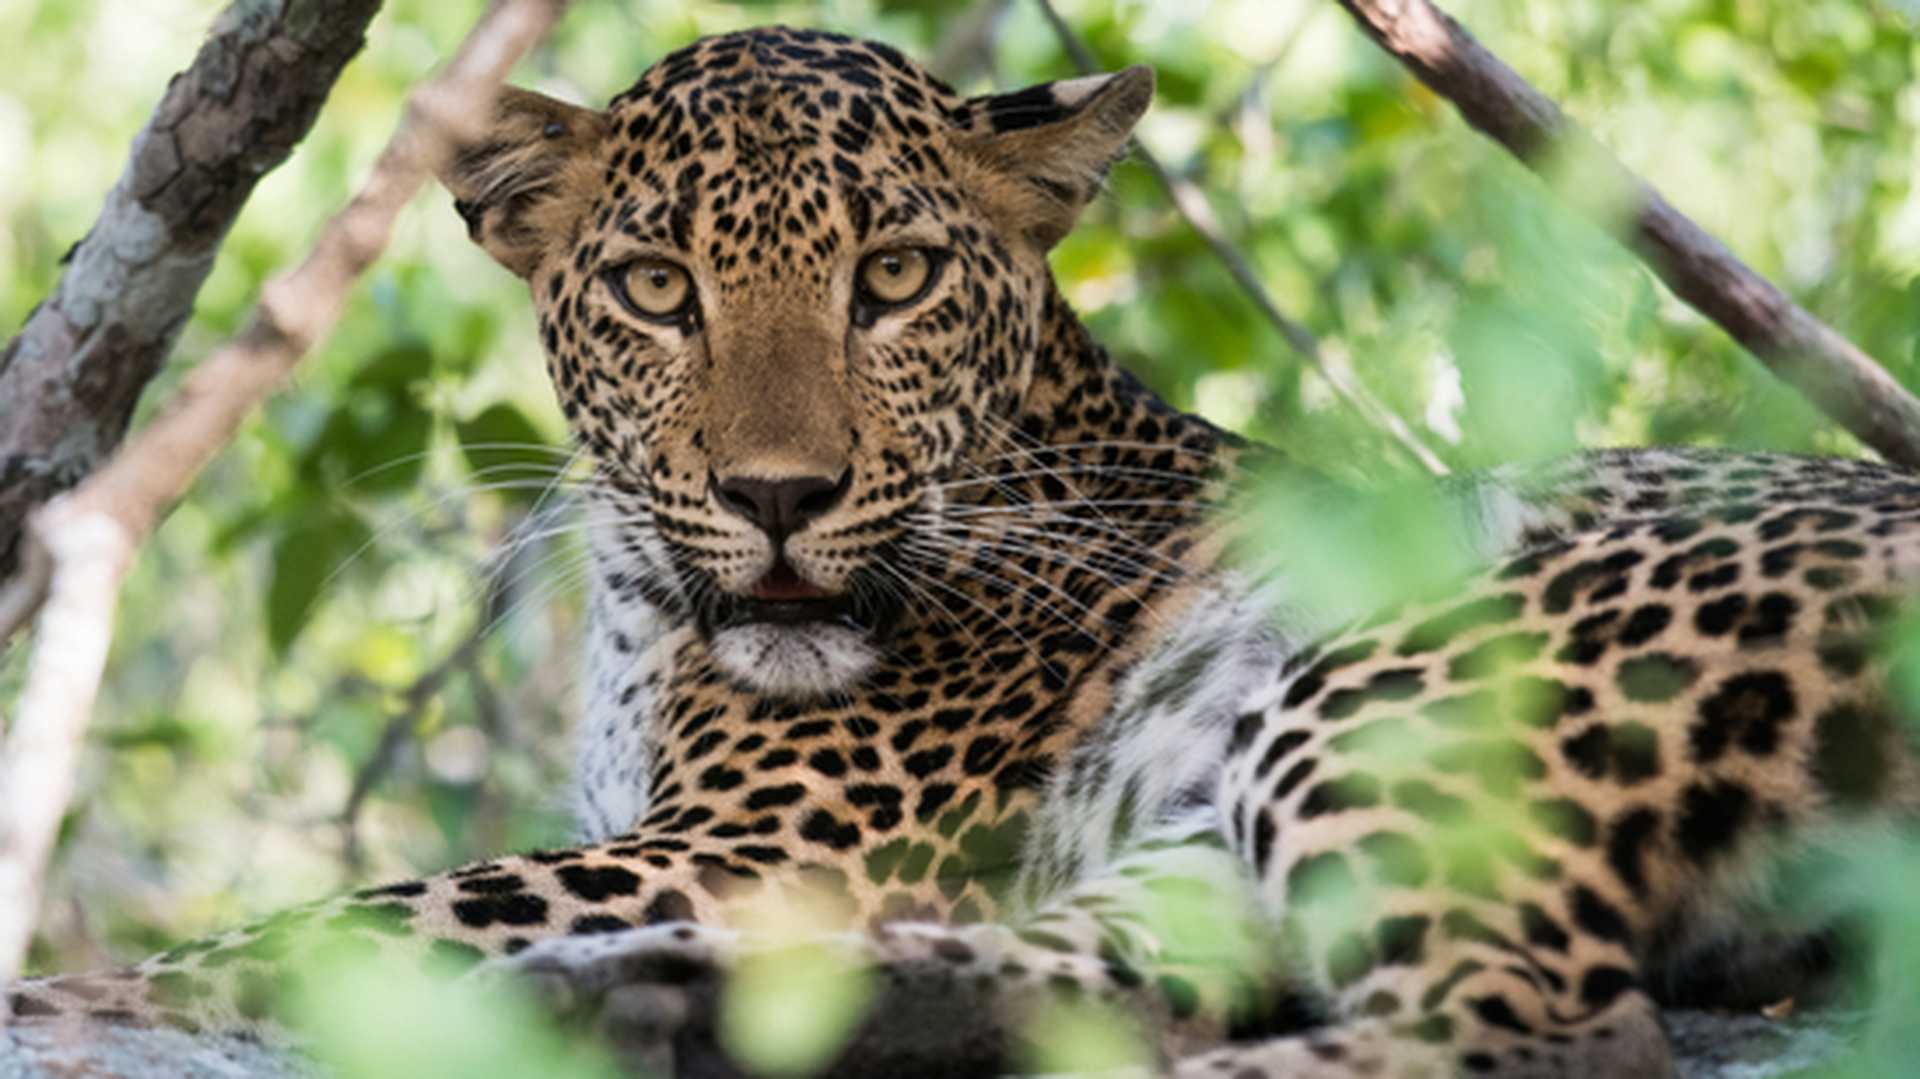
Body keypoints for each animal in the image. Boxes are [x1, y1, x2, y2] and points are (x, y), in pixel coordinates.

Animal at [8, 23, 1920, 1079]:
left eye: (899, 278)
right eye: (657, 288)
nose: (780, 494)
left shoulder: (760, 839)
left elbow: (326, 920)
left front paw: (85, 986)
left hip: (1415, 661)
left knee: (1541, 1020)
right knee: (1137, 988)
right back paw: (654, 1005)